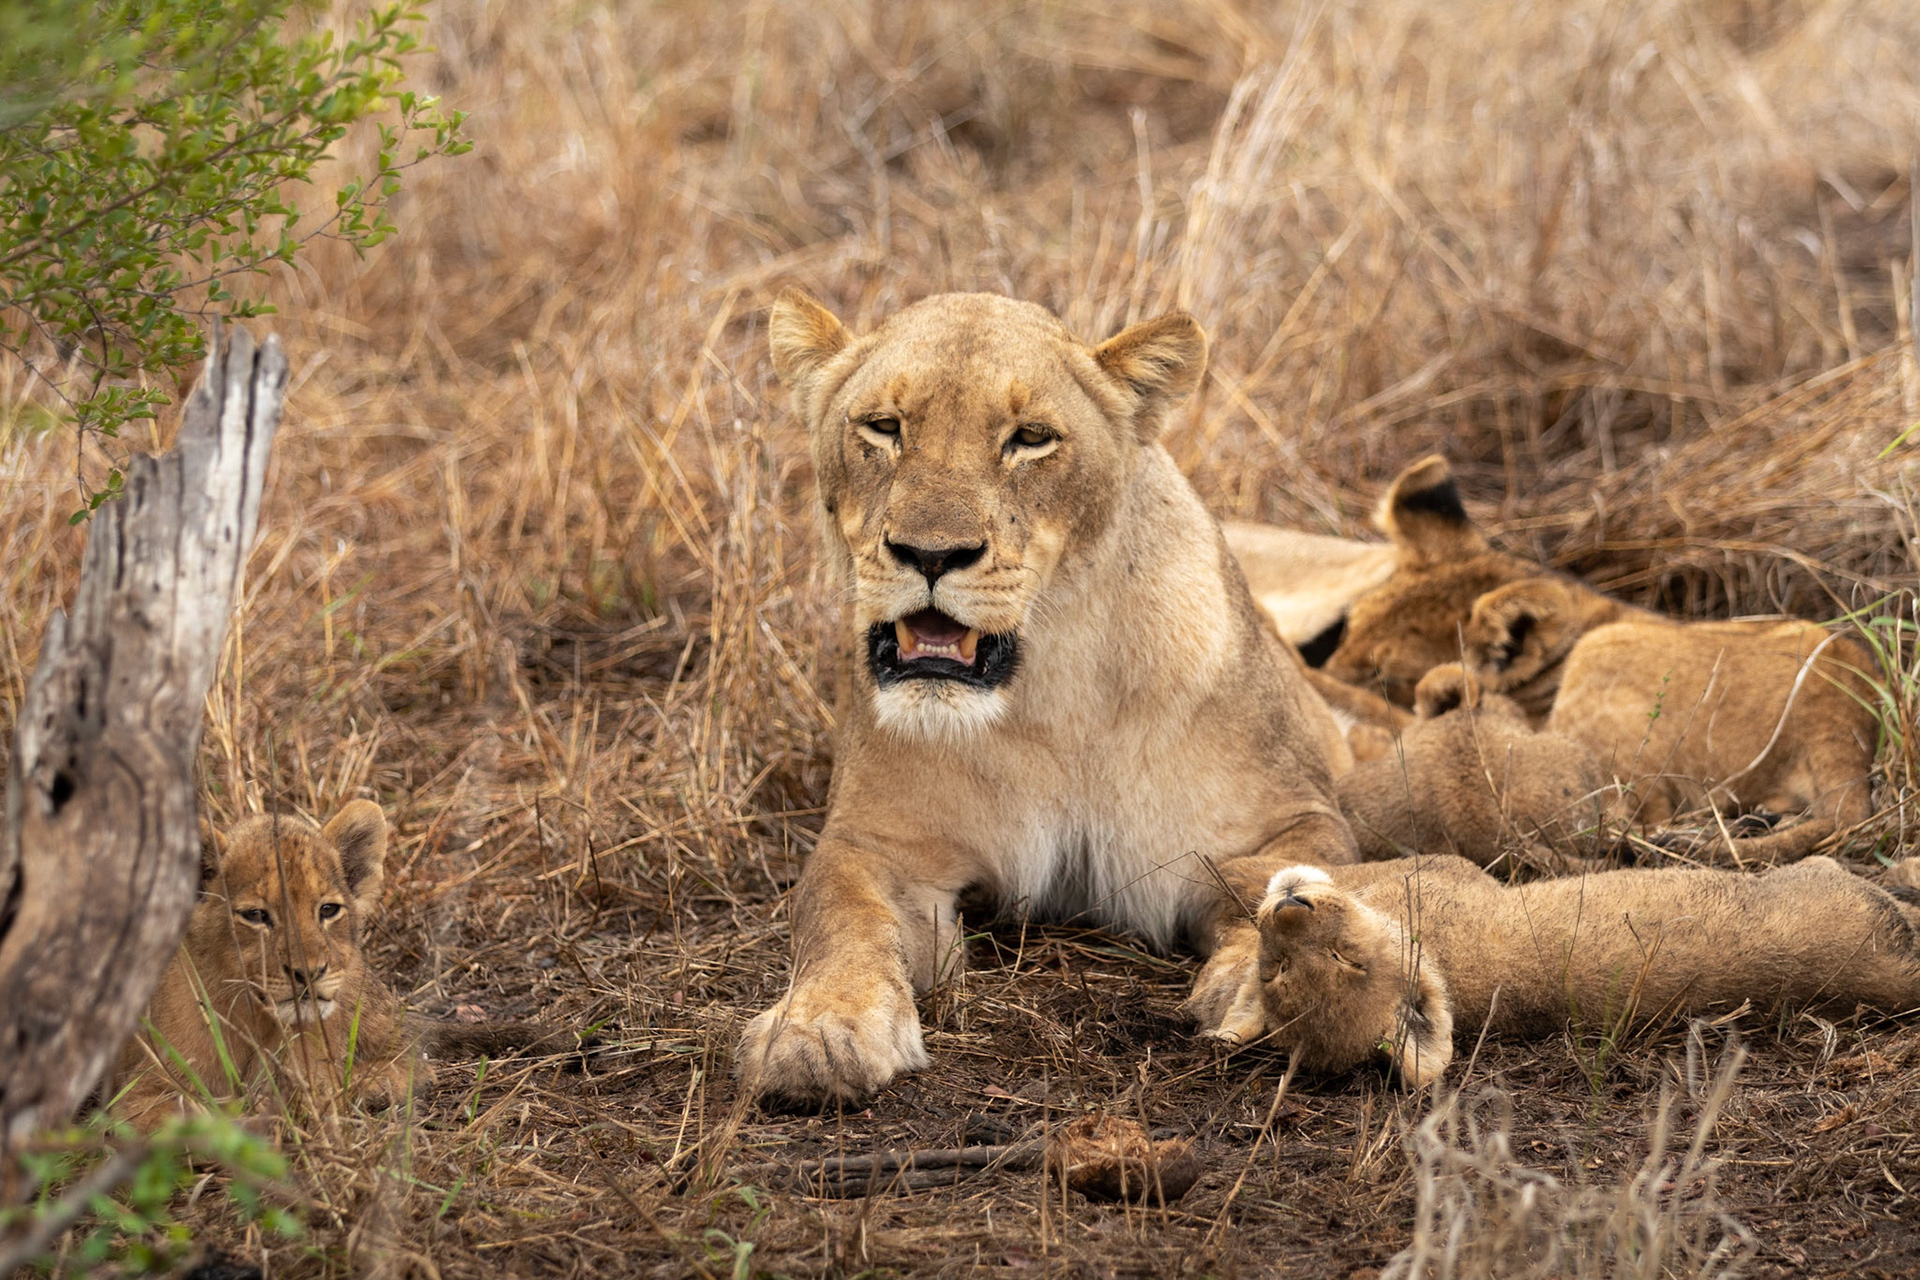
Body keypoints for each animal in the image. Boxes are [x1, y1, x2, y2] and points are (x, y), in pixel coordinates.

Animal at [115, 802, 558, 1130]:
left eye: (327, 910)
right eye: (256, 916)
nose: (309, 973)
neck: (256, 1020)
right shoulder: (135, 1096)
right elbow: (196, 1115)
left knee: (412, 1057)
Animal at [738, 289, 1361, 1105]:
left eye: (1030, 438)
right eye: (883, 427)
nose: (930, 555)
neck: (1049, 693)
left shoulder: (1289, 819)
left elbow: (1287, 890)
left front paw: (1270, 988)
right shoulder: (877, 844)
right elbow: (839, 916)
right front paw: (820, 1029)